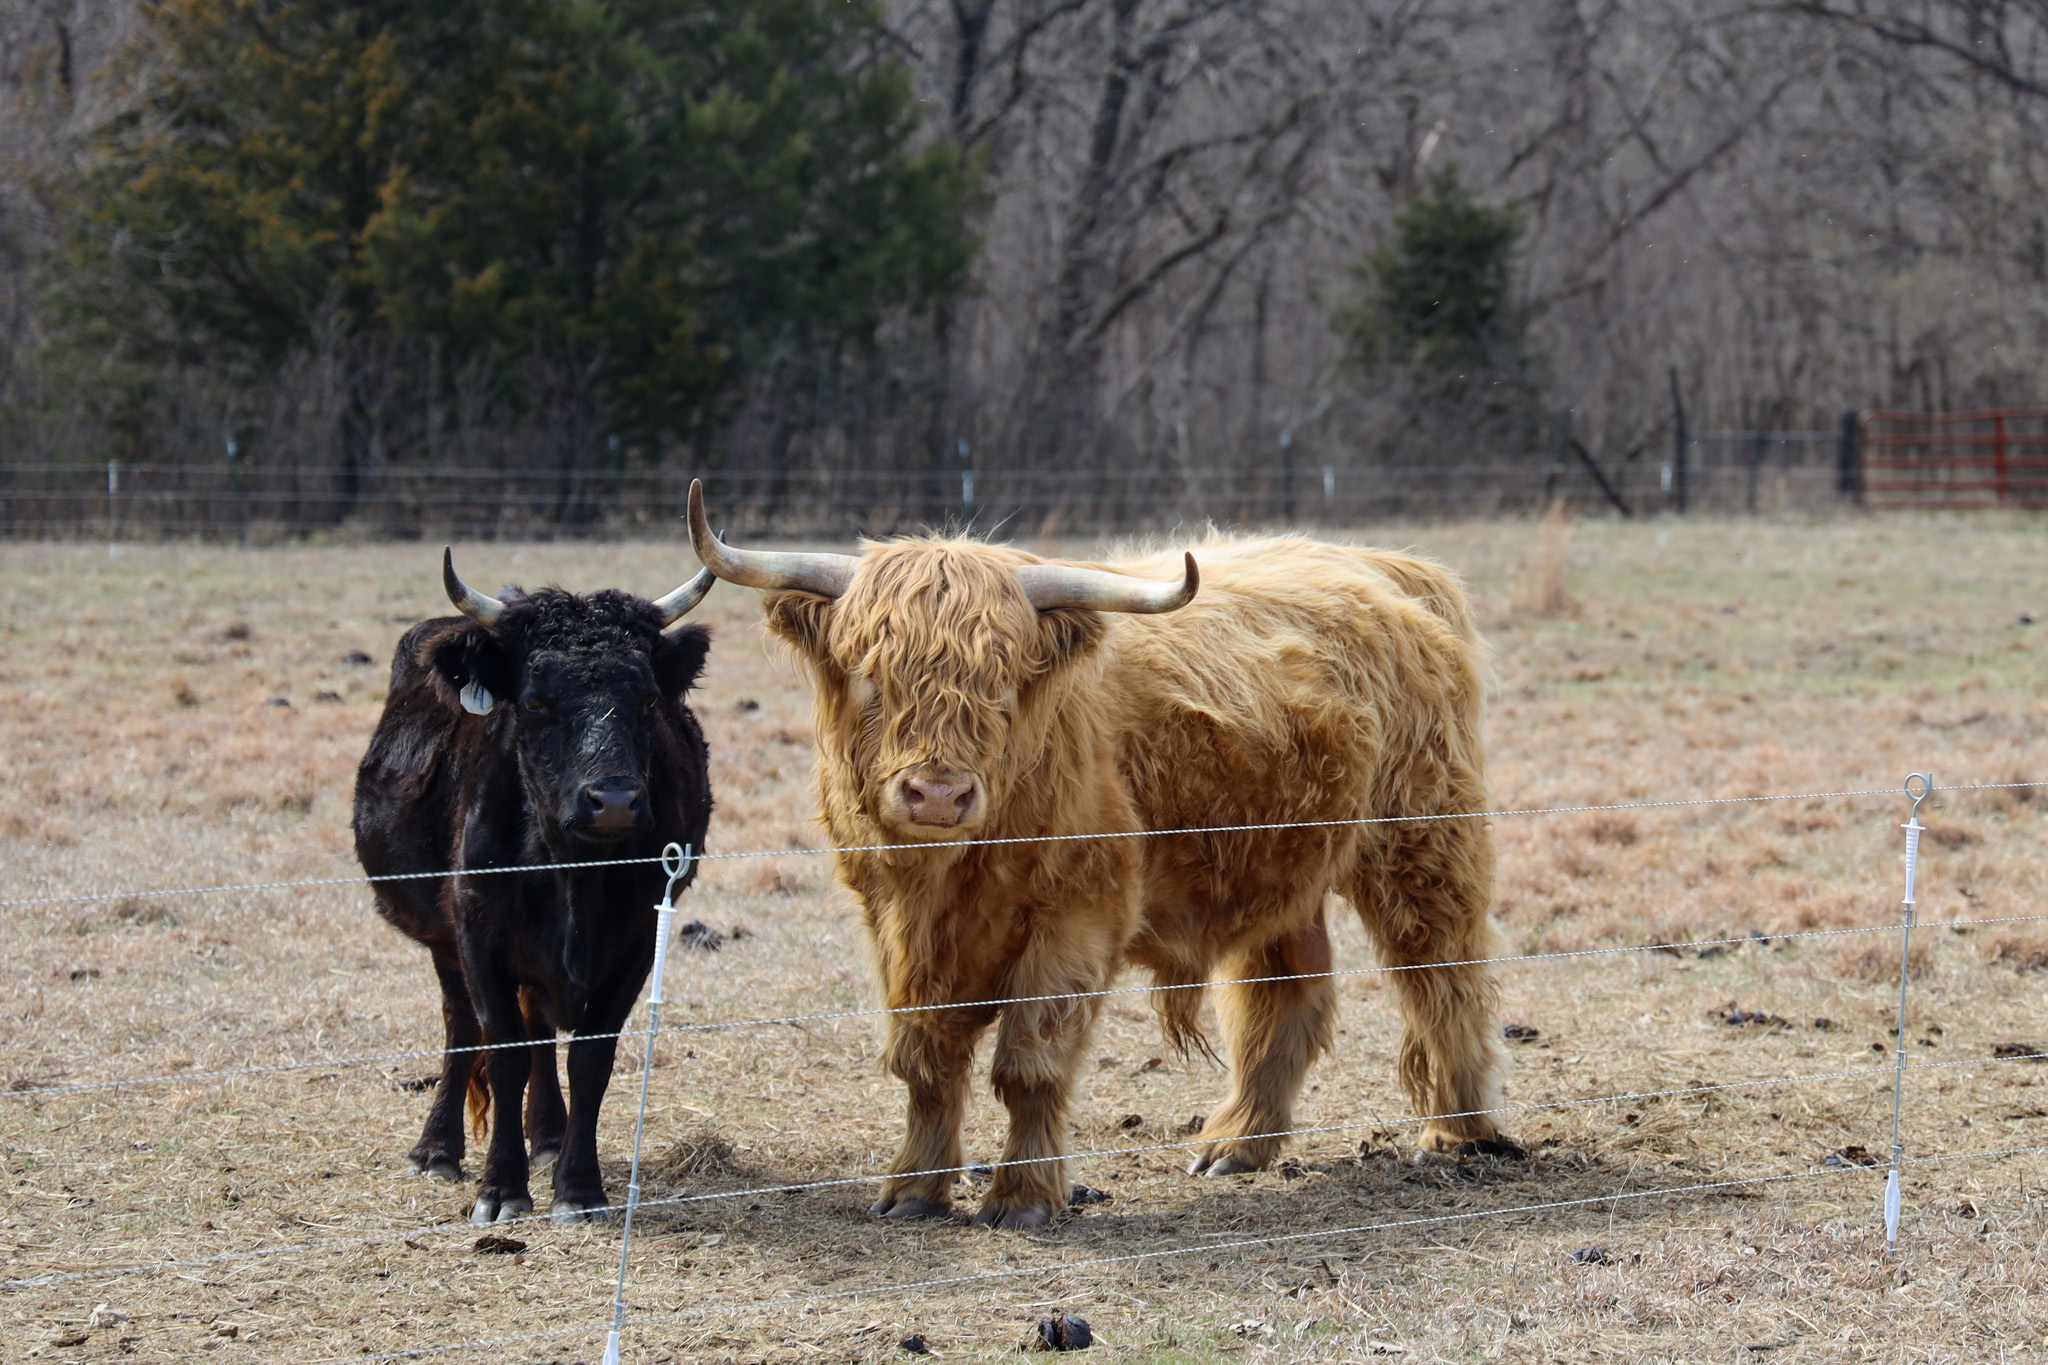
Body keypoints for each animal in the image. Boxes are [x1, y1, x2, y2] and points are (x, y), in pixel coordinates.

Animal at [346, 556, 712, 1227]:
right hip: (445, 944)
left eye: (647, 700)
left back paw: (547, 1136)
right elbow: (504, 1050)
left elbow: (589, 1056)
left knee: (541, 1029)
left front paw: (579, 1187)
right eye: (538, 703)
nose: (613, 800)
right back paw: (437, 1149)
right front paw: (501, 1188)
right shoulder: (476, 932)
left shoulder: (638, 940)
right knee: (463, 1027)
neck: (573, 871)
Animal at [688, 485, 1507, 1236]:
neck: (952, 876)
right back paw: (1237, 1142)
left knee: (1444, 976)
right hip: (1279, 861)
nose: (938, 793)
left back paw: (1455, 1132)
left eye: (1004, 681)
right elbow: (925, 1060)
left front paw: (1023, 1197)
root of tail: (1386, 566)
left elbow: (1029, 1064)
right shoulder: (894, 928)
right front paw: (913, 1189)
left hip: (1423, 839)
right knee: (1288, 992)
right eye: (869, 674)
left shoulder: (1076, 918)